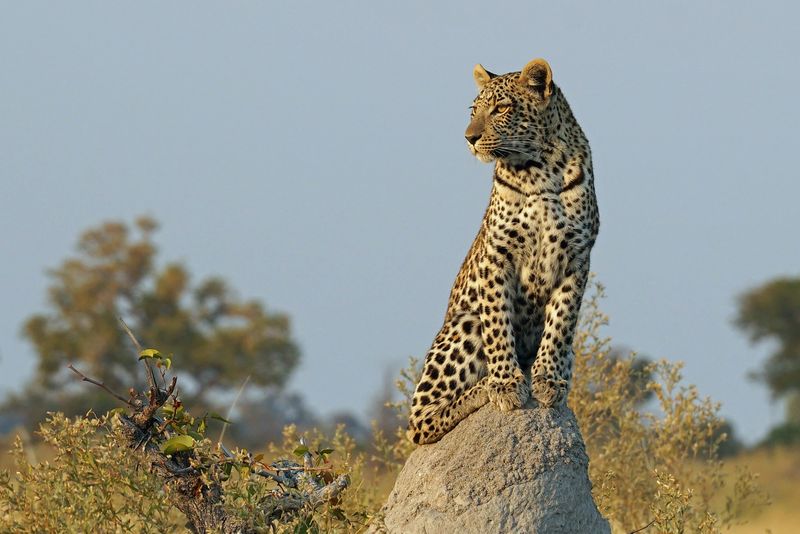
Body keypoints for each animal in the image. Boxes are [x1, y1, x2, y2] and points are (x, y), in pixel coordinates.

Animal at [407, 58, 599, 445]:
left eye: (501, 109)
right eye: (474, 111)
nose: (469, 138)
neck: (542, 169)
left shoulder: (577, 257)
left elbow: (561, 322)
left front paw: (548, 380)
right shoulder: (496, 255)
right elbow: (497, 323)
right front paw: (506, 384)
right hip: (464, 323)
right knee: (419, 422)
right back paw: (483, 388)